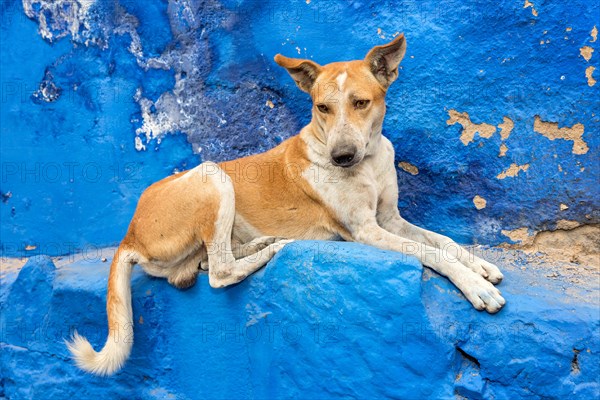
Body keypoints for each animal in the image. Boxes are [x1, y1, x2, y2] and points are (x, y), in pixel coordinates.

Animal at [68, 33, 504, 376]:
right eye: (322, 107)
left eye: (361, 103)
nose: (341, 157)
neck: (367, 160)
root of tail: (129, 234)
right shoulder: (364, 230)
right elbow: (428, 252)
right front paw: (476, 287)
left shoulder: (389, 218)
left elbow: (442, 241)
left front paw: (479, 265)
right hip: (213, 174)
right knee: (221, 273)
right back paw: (275, 247)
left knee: (206, 264)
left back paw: (256, 245)